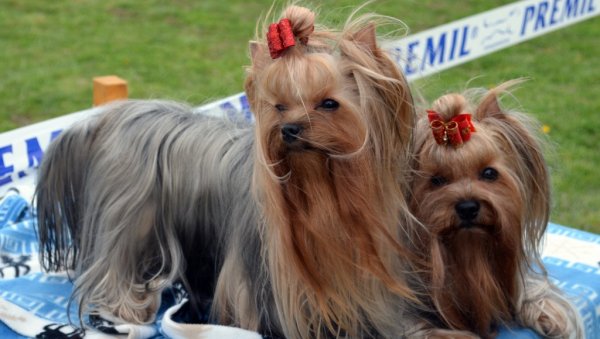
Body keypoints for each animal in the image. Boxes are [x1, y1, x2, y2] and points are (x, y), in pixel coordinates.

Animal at [36, 5, 432, 339]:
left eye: (330, 103)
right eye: (278, 106)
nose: (289, 129)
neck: (321, 191)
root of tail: (110, 117)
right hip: (129, 225)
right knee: (113, 271)